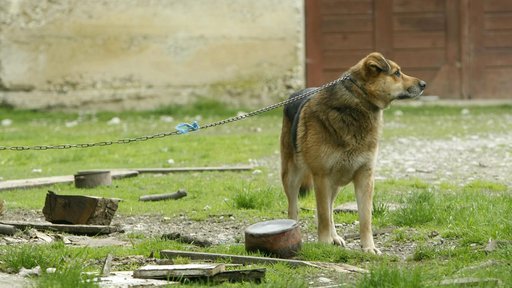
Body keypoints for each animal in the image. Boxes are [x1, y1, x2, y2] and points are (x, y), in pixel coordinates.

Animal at [282, 52, 426, 254]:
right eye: (397, 73)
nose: (424, 84)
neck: (358, 101)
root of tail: (295, 93)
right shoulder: (321, 176)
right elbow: (322, 215)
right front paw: (324, 244)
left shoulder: (365, 176)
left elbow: (365, 218)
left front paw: (369, 247)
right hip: (293, 177)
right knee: (294, 208)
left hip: (335, 183)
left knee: (330, 207)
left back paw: (335, 237)